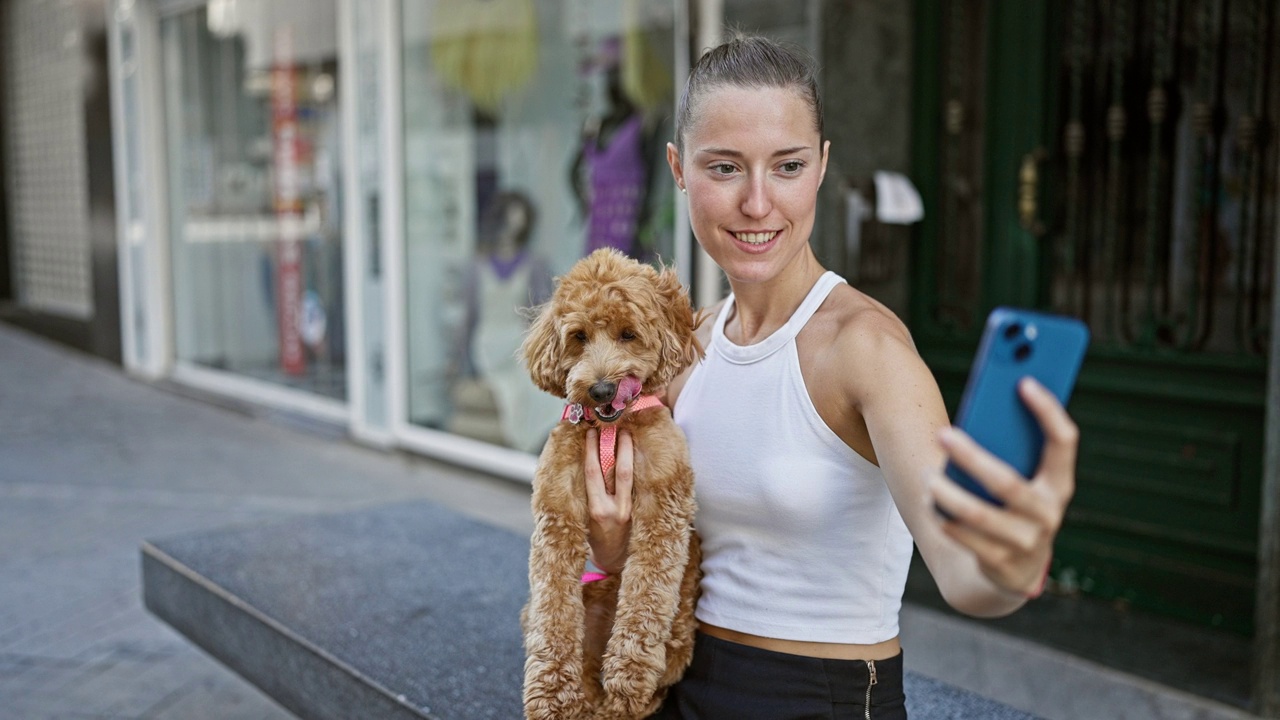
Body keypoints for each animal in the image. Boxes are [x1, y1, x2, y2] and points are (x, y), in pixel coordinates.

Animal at [517, 248, 701, 717]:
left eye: (628, 334)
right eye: (579, 336)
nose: (600, 390)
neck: (610, 431)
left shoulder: (664, 506)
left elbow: (646, 597)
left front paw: (628, 676)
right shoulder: (557, 511)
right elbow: (553, 608)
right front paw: (551, 695)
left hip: (680, 634)